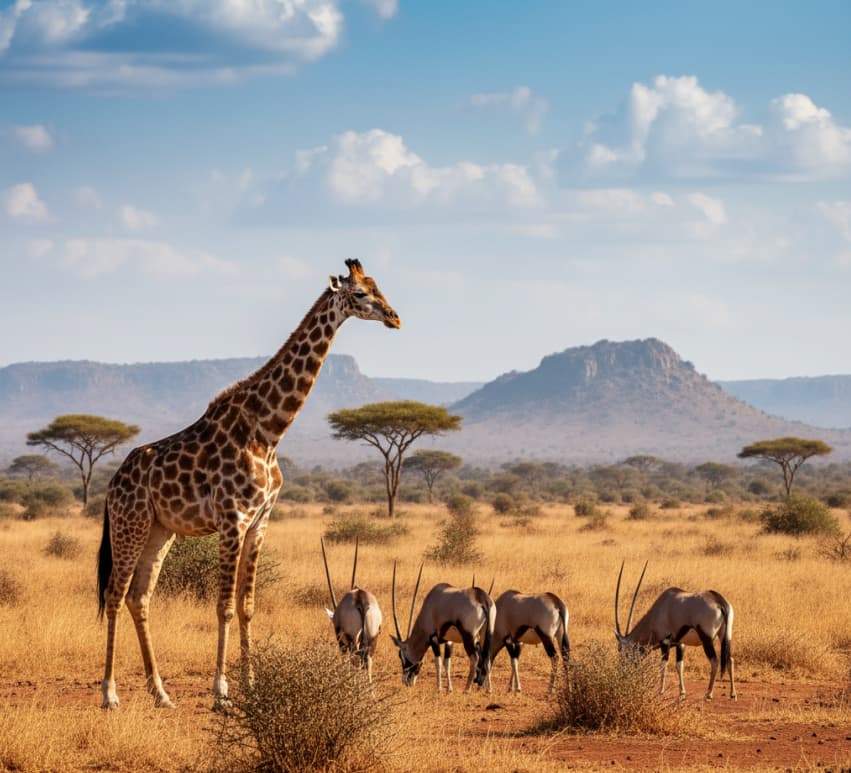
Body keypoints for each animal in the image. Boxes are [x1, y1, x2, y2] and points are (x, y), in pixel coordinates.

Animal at [96, 258, 400, 710]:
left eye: (379, 287)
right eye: (361, 293)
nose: (395, 317)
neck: (268, 431)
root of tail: (113, 484)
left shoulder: (260, 522)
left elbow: (248, 606)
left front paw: (251, 684)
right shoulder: (232, 520)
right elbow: (223, 605)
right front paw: (221, 692)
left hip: (158, 531)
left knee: (139, 597)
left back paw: (161, 692)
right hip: (128, 524)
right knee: (115, 595)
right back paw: (110, 693)